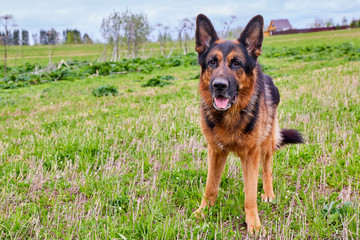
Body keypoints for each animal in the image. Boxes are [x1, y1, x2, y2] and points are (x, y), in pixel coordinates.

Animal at [194, 14, 304, 232]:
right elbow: (210, 187)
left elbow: (250, 194)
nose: (219, 86)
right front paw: (203, 212)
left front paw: (253, 223)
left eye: (237, 63)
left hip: (266, 145)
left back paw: (269, 193)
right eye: (212, 62)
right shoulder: (215, 152)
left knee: (267, 169)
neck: (230, 116)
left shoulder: (251, 155)